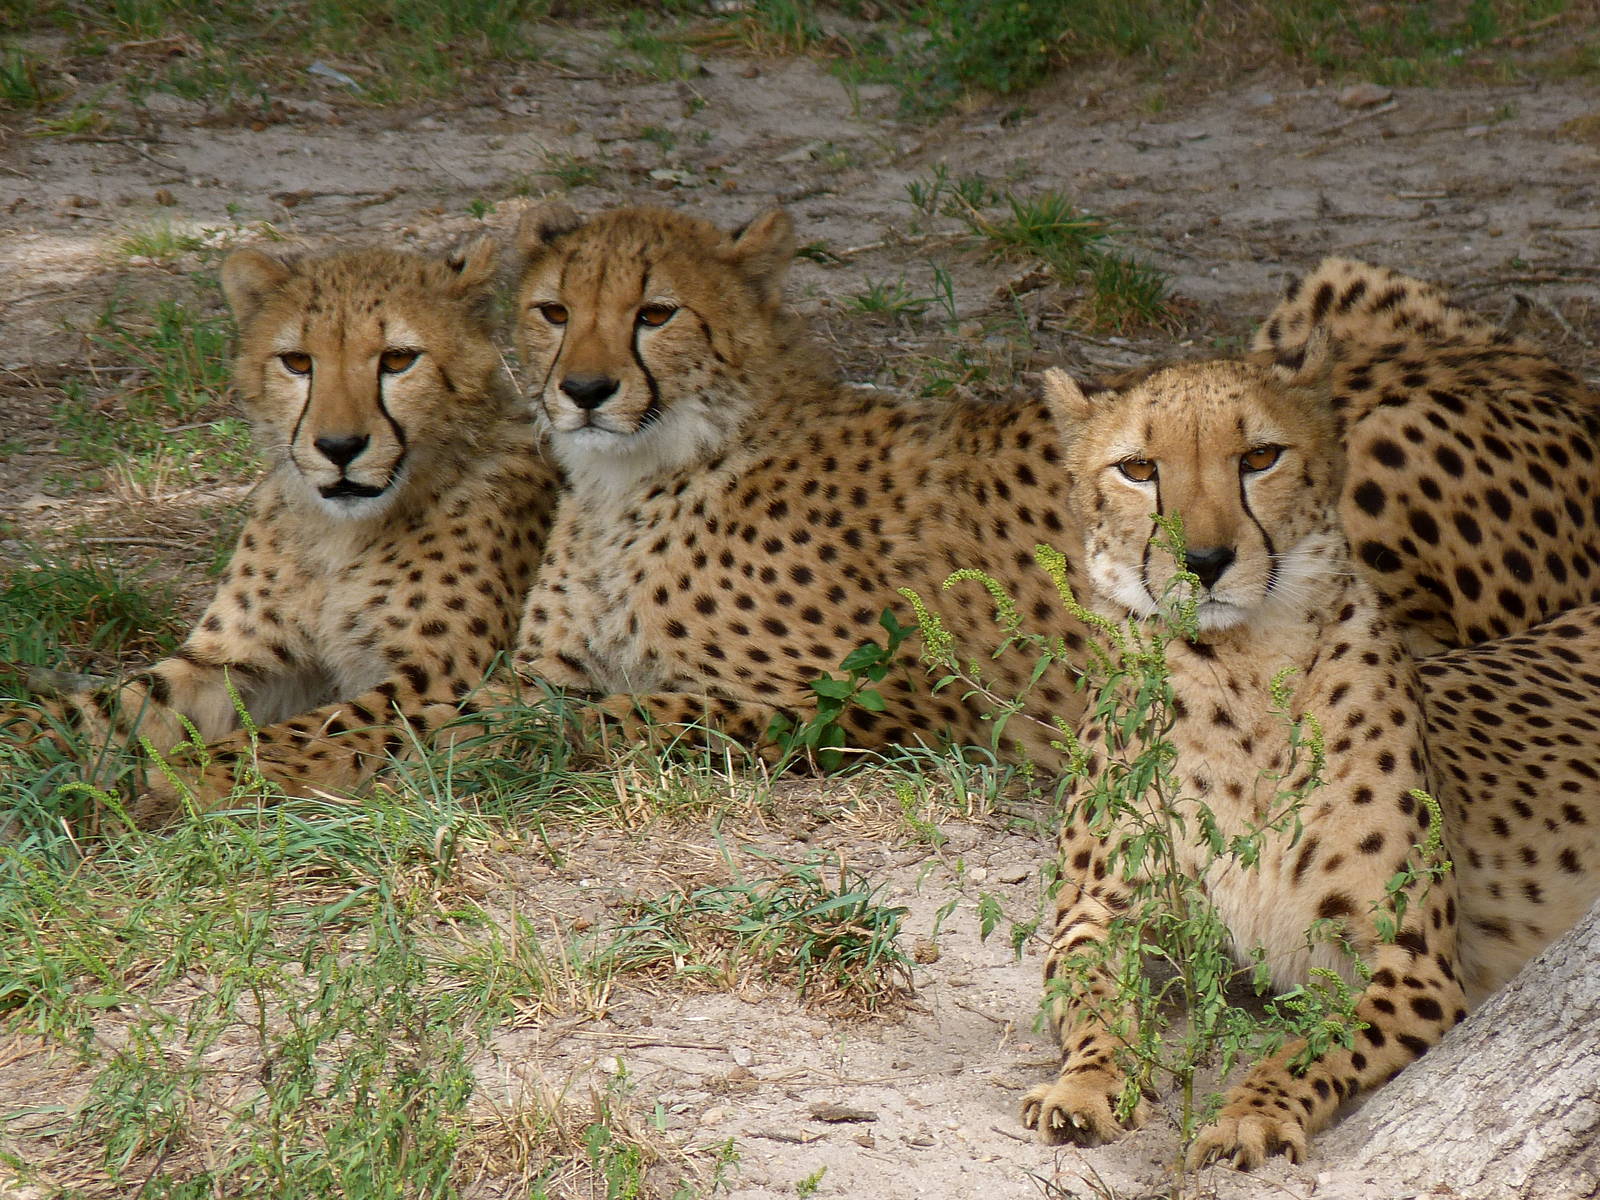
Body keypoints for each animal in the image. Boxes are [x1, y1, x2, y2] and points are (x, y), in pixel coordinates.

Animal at [15, 239, 561, 822]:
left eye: (398, 359)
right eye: (297, 362)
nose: (339, 447)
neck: (343, 532)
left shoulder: (444, 672)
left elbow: (325, 726)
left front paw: (195, 771)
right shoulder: (235, 660)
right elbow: (115, 702)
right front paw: (21, 742)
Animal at [1022, 349, 1600, 1169]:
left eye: (1259, 457)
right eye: (1137, 468)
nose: (1205, 561)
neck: (1237, 669)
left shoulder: (1410, 962)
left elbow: (1310, 1047)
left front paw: (1247, 1117)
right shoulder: (1099, 913)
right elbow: (1092, 999)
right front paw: (1085, 1087)